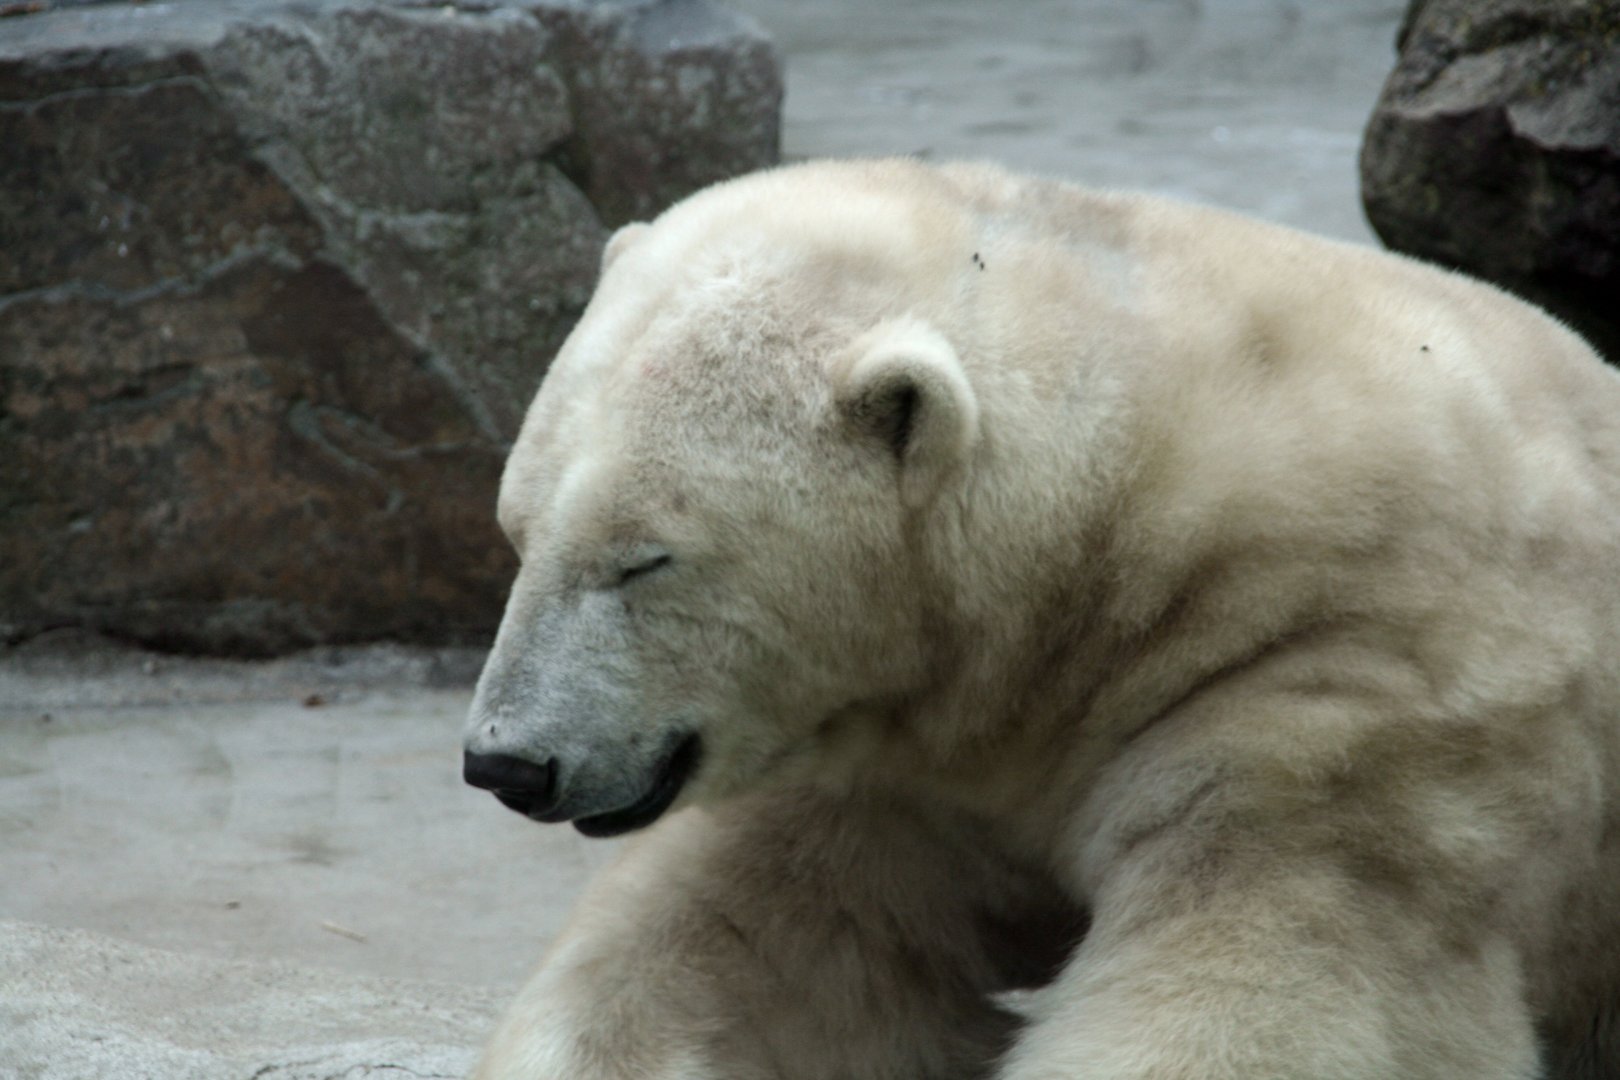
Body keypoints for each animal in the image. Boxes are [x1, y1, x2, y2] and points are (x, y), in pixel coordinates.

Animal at [460, 158, 1620, 1080]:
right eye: (516, 530)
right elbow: (744, 941)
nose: (507, 763)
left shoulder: (1357, 703)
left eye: (643, 560)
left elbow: (1279, 989)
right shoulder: (899, 753)